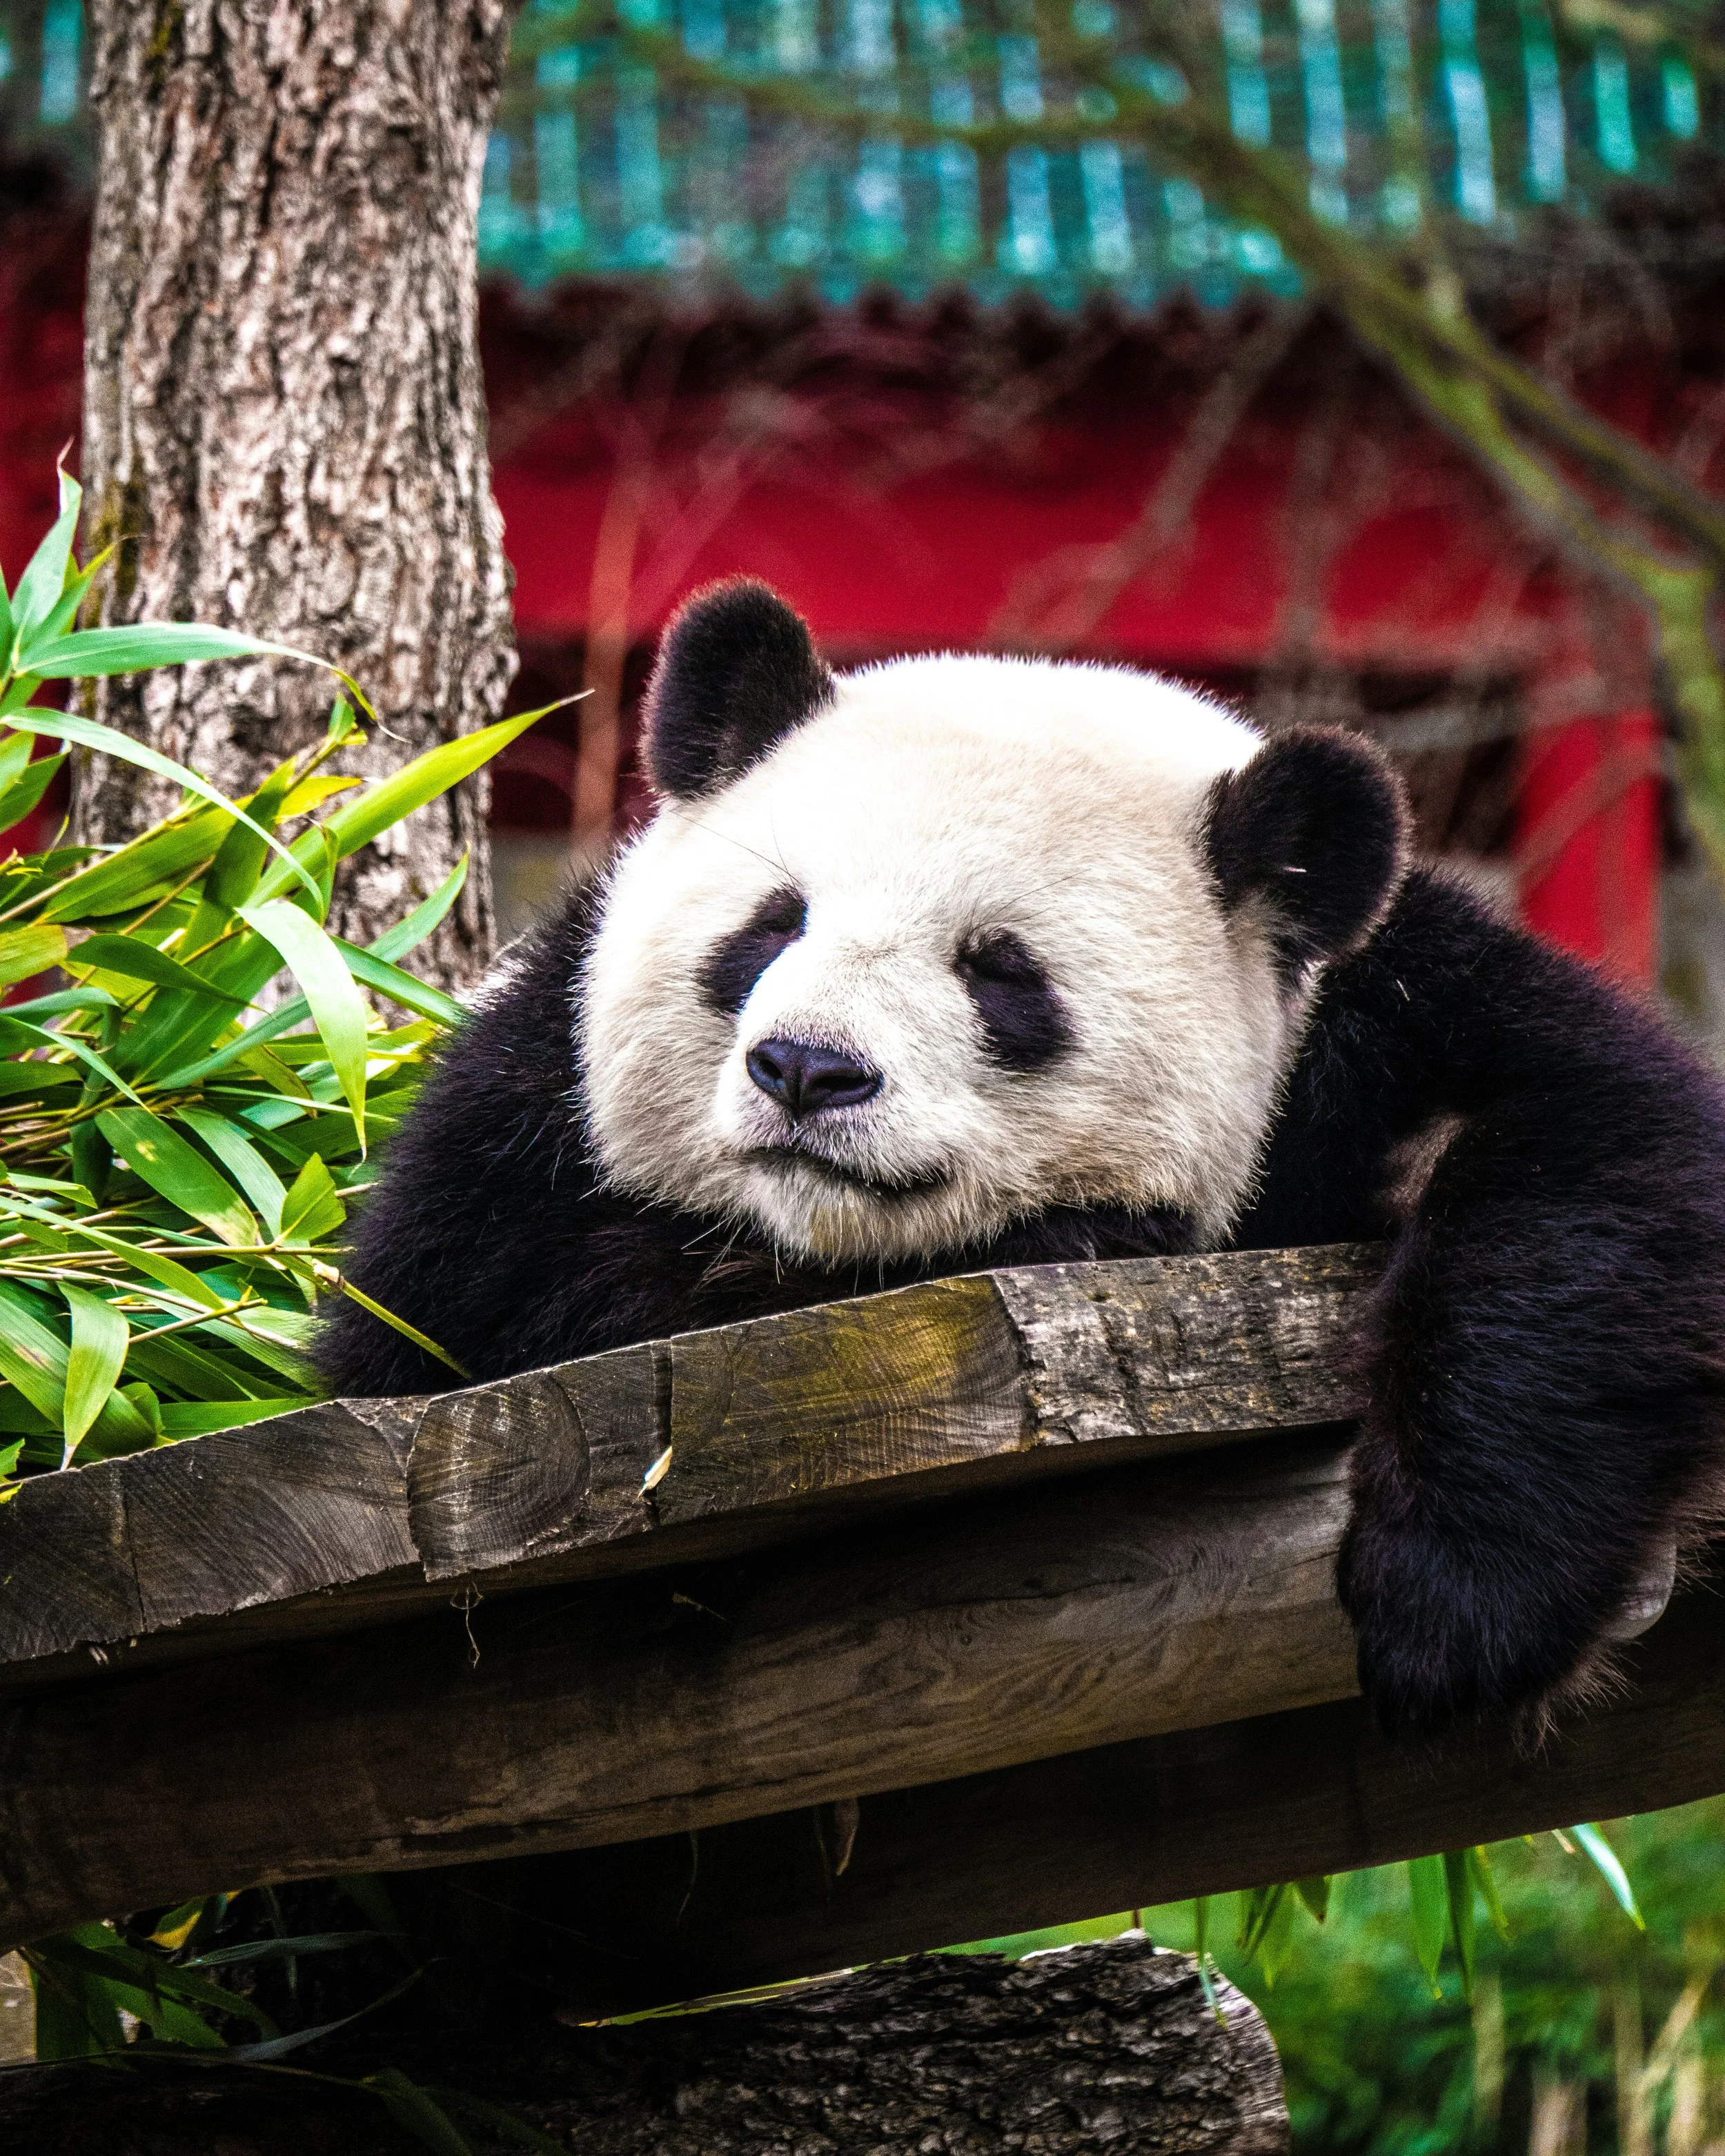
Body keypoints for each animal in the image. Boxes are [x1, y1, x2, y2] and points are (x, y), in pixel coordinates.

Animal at [318, 578, 1725, 1736]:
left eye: (1000, 972)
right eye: (774, 923)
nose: (808, 1070)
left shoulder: (1380, 1015)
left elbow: (1602, 1160)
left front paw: (1457, 1610)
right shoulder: (519, 1113)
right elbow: (469, 1313)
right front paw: (1083, 1233)